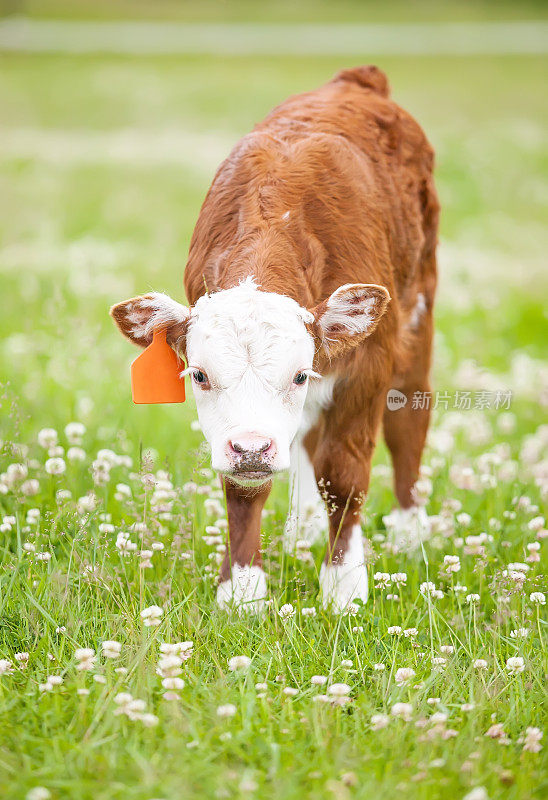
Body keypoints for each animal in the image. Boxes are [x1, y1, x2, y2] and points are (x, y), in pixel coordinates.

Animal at [111, 67, 440, 612]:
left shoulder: (366, 365)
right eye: (199, 375)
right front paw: (242, 589)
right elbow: (244, 490)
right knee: (304, 434)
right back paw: (304, 530)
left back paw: (411, 534)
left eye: (299, 374)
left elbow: (343, 474)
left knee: (408, 417)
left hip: (418, 313)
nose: (251, 449)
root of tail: (358, 80)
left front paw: (343, 584)